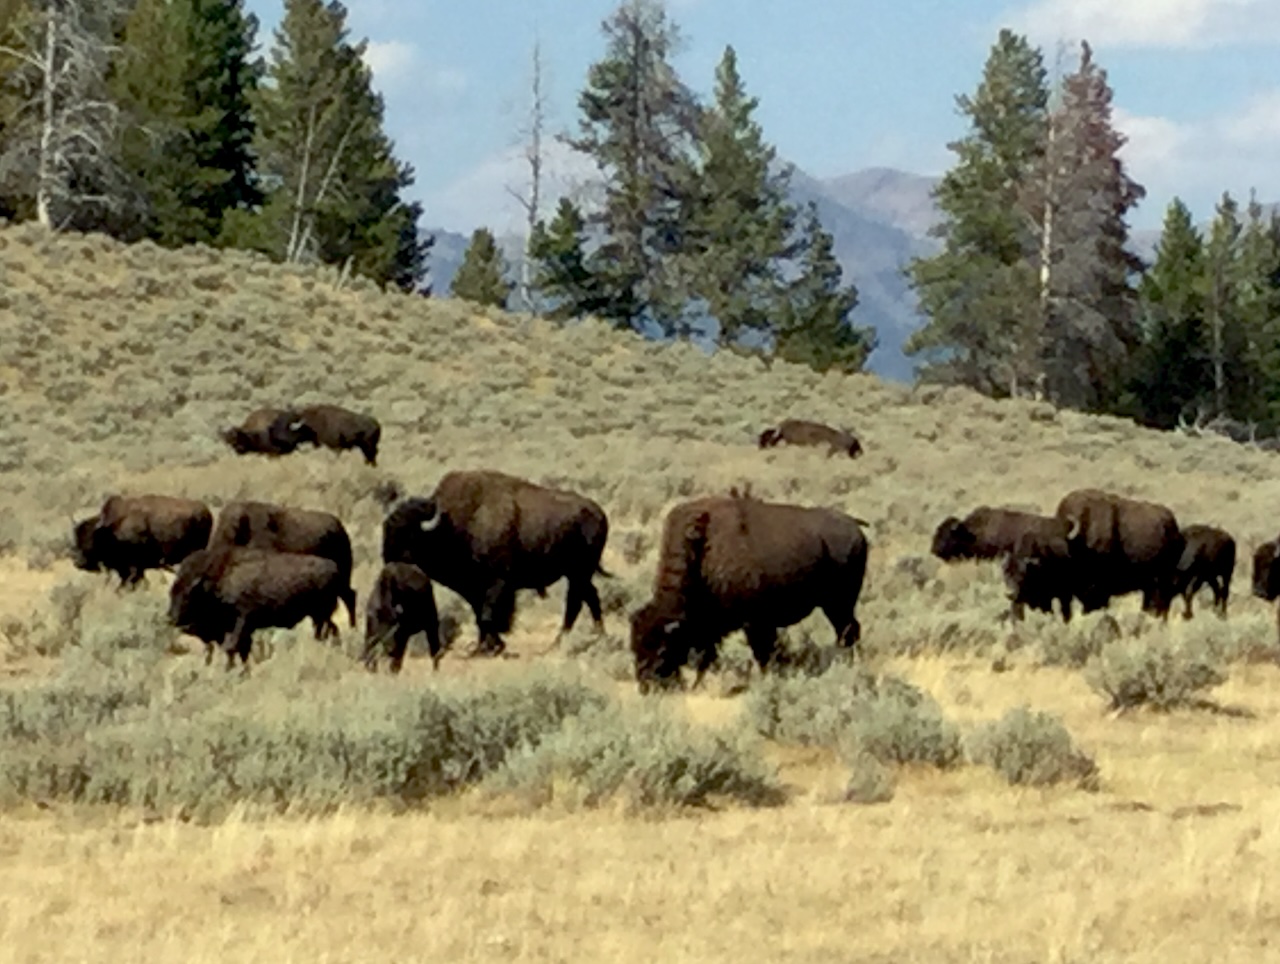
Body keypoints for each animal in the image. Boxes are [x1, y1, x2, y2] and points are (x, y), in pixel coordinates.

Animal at [72, 494, 212, 587]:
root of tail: (206, 511)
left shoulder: (133, 566)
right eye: (77, 537)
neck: (112, 527)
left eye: (92, 538)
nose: (78, 562)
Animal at [169, 547, 348, 669]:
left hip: (321, 614)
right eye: (171, 592)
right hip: (320, 615)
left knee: (325, 631)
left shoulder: (242, 620)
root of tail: (333, 567)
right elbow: (241, 649)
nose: (172, 618)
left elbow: (233, 647)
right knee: (332, 629)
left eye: (188, 595)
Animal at [381, 469, 610, 657]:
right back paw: (595, 635)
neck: (450, 526)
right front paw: (483, 647)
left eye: (408, 533)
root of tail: (599, 512)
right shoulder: (473, 589)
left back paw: (562, 643)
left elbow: (488, 615)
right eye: (387, 529)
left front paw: (492, 647)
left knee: (576, 601)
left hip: (579, 572)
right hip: (577, 573)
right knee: (589, 597)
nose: (387, 559)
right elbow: (480, 615)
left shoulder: (497, 583)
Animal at [629, 494, 868, 694]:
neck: (703, 552)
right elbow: (708, 657)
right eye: (634, 647)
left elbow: (762, 654)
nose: (645, 685)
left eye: (662, 649)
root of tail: (854, 526)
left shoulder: (755, 623)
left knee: (848, 631)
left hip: (839, 603)